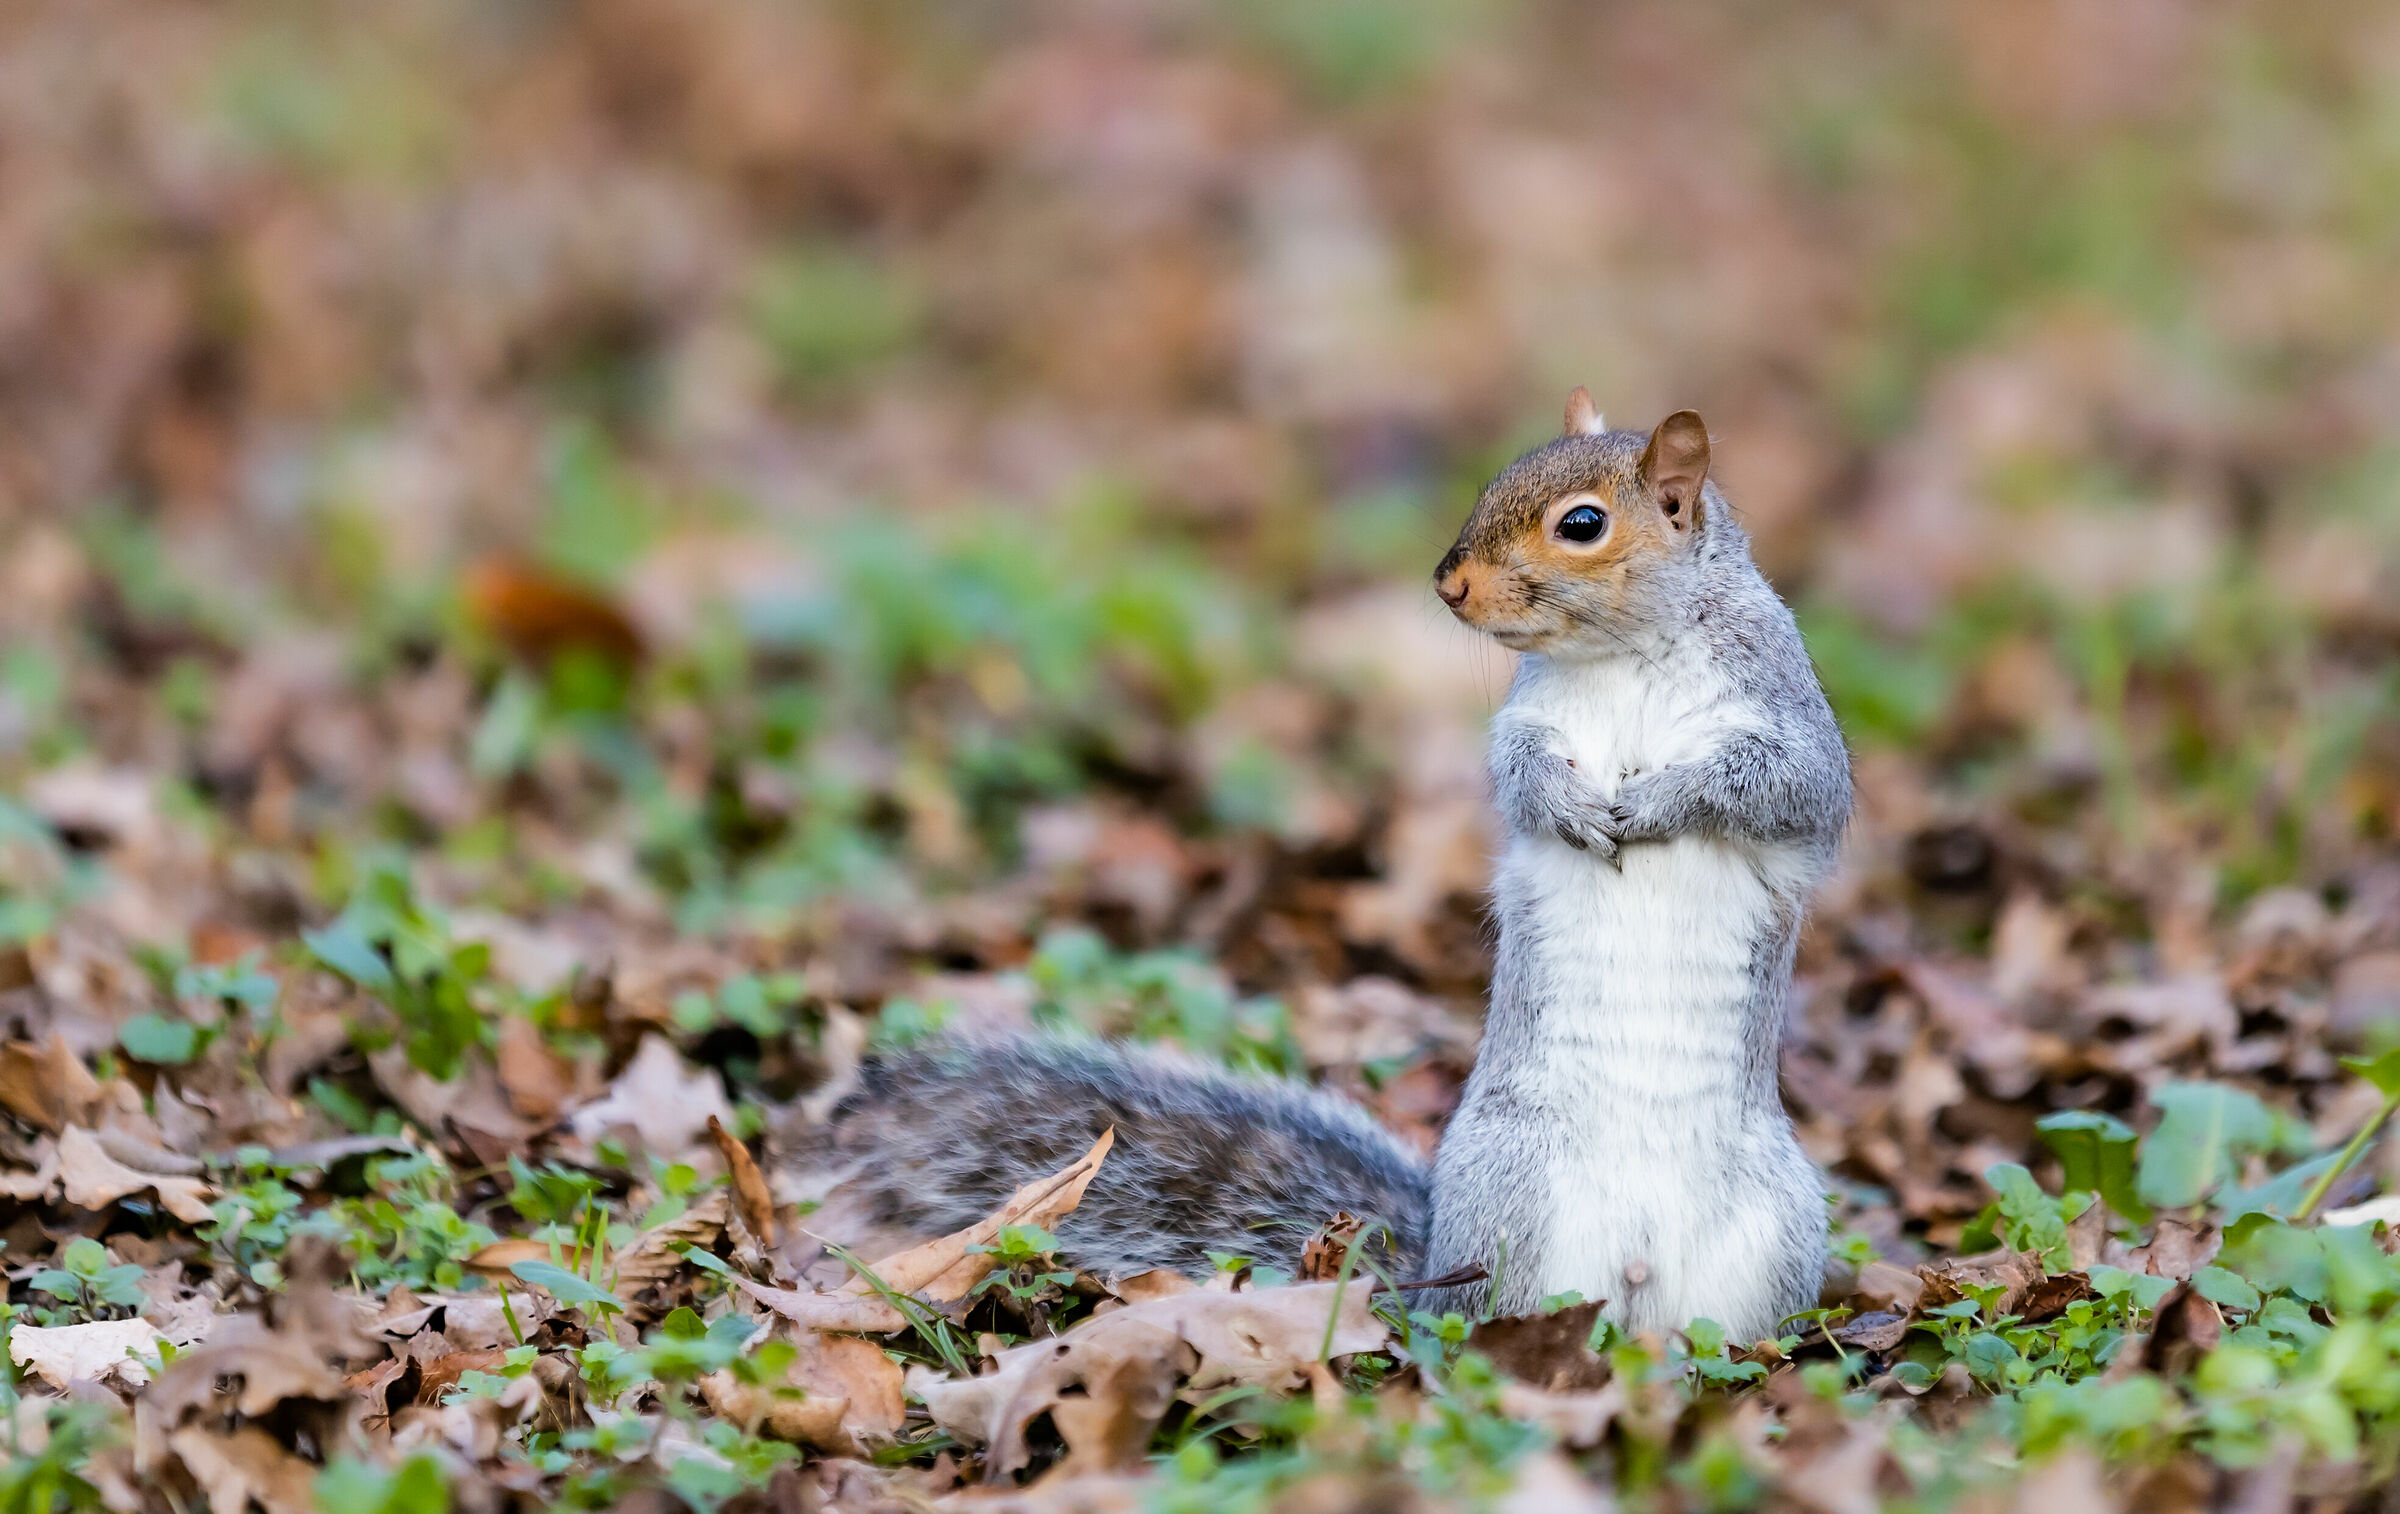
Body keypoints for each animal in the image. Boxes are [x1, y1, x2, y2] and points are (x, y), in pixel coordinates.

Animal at [782, 393, 1851, 1343]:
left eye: (1582, 524)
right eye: (1493, 480)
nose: (1449, 584)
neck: (1622, 656)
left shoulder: (1789, 717)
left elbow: (1787, 787)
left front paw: (1657, 802)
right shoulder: (1526, 719)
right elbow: (1519, 775)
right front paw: (1570, 806)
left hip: (1774, 1235)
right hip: (1511, 1201)